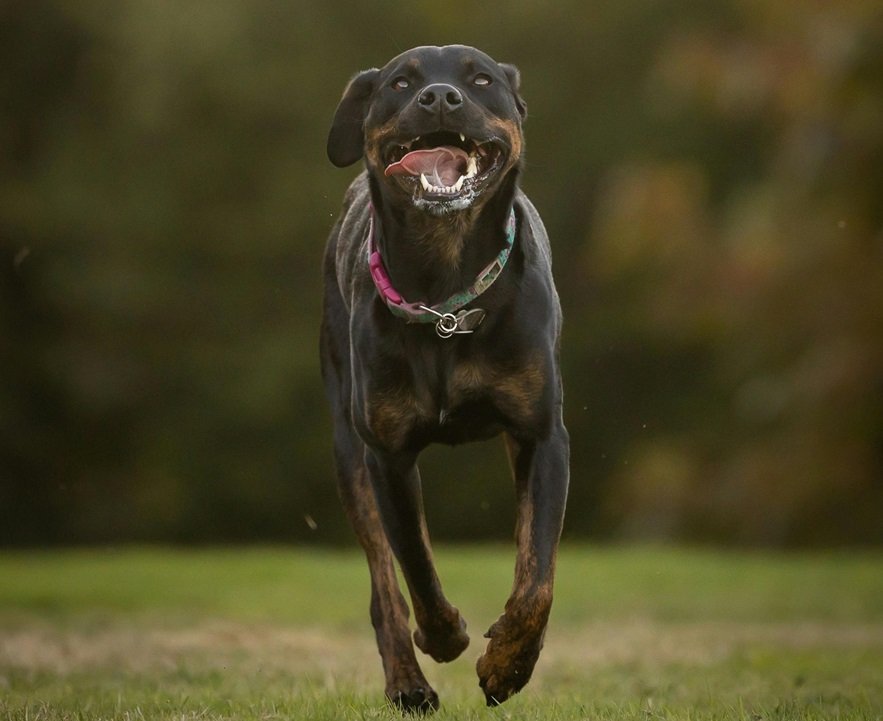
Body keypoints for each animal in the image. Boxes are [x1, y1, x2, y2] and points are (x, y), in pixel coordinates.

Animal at [322, 45, 568, 708]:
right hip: (347, 449)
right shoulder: (385, 453)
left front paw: (508, 664)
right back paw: (408, 683)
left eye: (480, 79)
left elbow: (536, 574)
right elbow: (415, 563)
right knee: (384, 587)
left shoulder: (541, 435)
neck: (445, 291)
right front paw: (448, 635)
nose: (438, 97)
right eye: (399, 83)